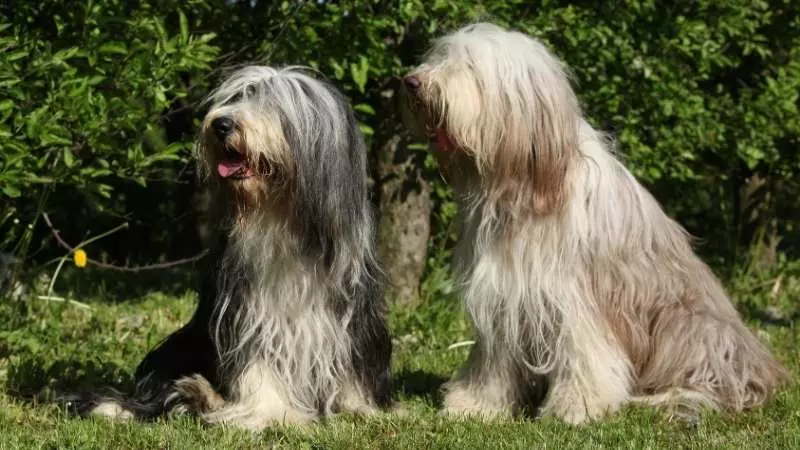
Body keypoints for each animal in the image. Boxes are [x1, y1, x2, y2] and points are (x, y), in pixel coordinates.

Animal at [83, 65, 392, 430]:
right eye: (238, 97)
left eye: (274, 105)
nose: (221, 124)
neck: (283, 220)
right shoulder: (247, 309)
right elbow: (257, 359)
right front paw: (272, 412)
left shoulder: (352, 309)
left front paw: (360, 407)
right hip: (179, 347)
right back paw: (197, 394)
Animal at [400, 22, 788, 424]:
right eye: (440, 57)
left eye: (469, 66)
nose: (411, 82)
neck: (523, 187)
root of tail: (760, 370)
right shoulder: (503, 294)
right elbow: (494, 359)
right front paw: (476, 404)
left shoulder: (573, 295)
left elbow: (586, 353)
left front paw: (576, 407)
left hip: (692, 328)